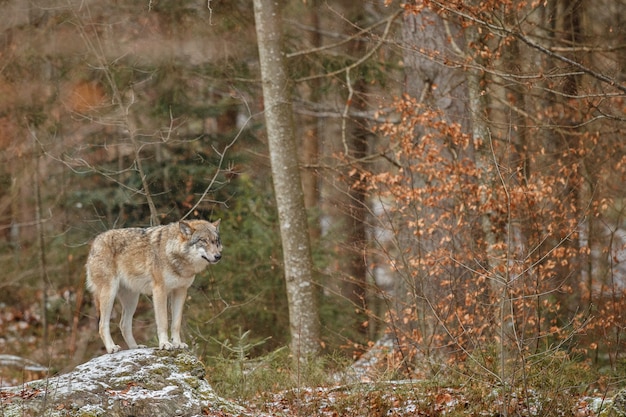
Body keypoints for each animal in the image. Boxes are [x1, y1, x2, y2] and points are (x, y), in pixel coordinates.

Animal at [84, 219, 222, 352]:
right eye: (203, 240)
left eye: (215, 241)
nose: (218, 256)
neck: (173, 254)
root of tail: (95, 242)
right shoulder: (159, 290)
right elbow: (163, 321)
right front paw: (165, 344)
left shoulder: (181, 291)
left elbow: (176, 323)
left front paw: (178, 344)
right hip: (109, 294)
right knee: (102, 325)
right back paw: (111, 348)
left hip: (132, 300)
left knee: (123, 324)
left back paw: (135, 347)